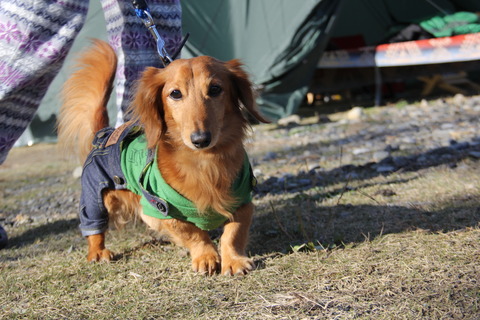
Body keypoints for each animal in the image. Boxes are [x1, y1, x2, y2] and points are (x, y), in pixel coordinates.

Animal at [57, 40, 268, 276]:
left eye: (215, 89)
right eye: (175, 93)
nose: (200, 139)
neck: (204, 162)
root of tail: (104, 134)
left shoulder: (243, 199)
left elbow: (233, 232)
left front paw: (234, 260)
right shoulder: (157, 210)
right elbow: (191, 233)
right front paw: (206, 256)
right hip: (95, 197)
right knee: (94, 227)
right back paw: (97, 252)